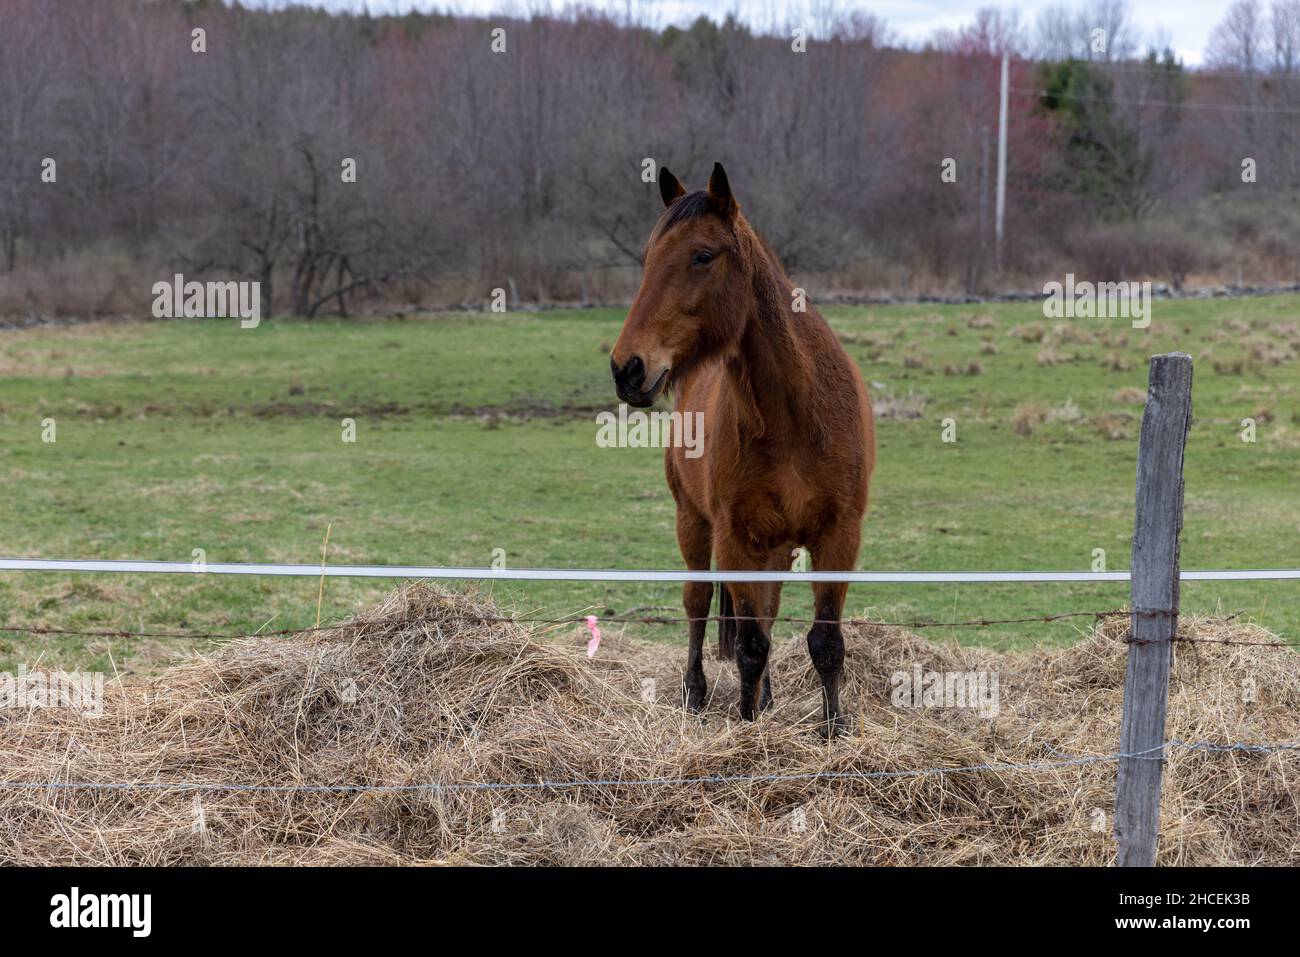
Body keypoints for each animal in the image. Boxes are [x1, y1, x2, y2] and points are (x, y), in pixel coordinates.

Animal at [610, 162, 875, 737]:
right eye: (648, 256)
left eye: (703, 256)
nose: (627, 368)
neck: (794, 415)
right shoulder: (734, 538)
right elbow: (750, 645)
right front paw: (748, 730)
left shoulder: (838, 535)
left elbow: (825, 642)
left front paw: (833, 730)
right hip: (693, 521)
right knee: (698, 601)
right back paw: (696, 693)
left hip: (776, 545)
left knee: (768, 613)